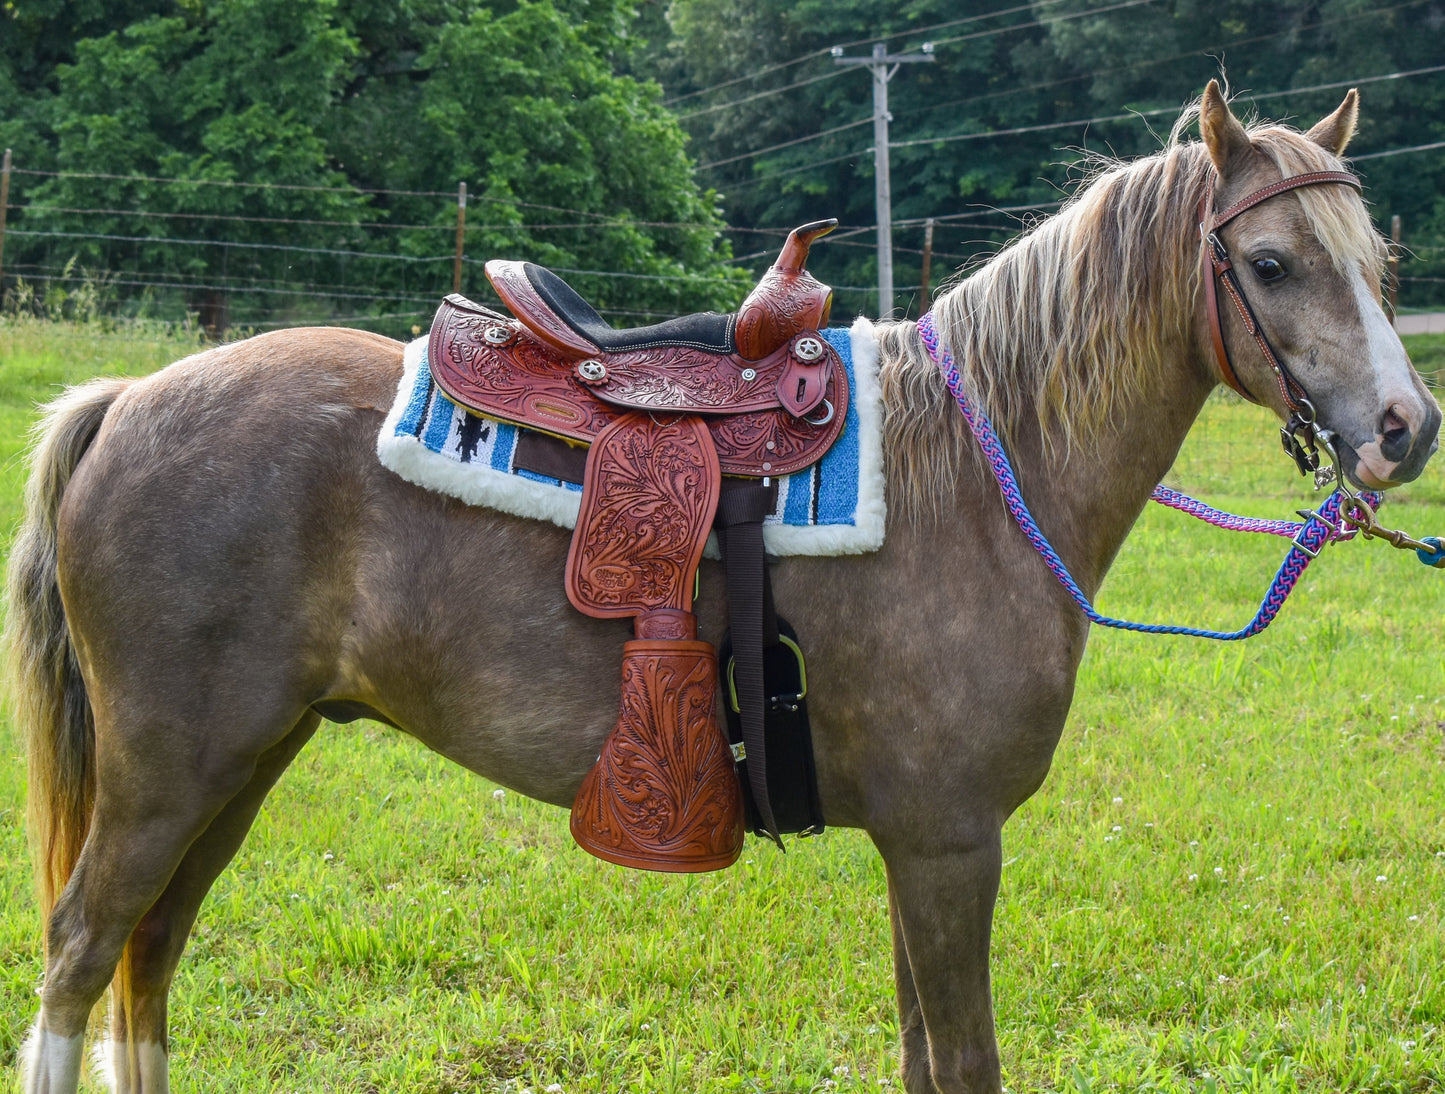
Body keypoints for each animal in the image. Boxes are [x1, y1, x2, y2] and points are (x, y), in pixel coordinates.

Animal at [5, 80, 1439, 1086]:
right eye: (1270, 264)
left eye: (1378, 264)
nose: (1404, 429)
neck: (979, 471)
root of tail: (127, 397)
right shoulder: (947, 841)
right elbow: (962, 1057)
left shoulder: (919, 844)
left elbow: (924, 1056)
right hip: (169, 766)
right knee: (80, 953)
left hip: (245, 758)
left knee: (146, 957)